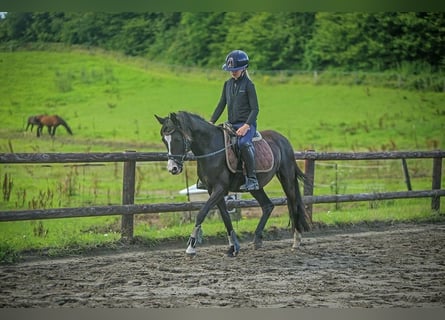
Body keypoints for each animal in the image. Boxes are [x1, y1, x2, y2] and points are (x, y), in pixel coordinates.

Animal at [156, 111, 308, 256]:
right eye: (164, 140)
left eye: (176, 139)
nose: (172, 168)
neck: (211, 148)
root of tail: (283, 139)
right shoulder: (212, 190)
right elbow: (225, 217)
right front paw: (233, 247)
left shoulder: (220, 188)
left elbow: (202, 213)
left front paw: (191, 247)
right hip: (256, 187)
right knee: (268, 206)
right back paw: (257, 240)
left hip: (287, 179)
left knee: (293, 203)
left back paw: (296, 240)